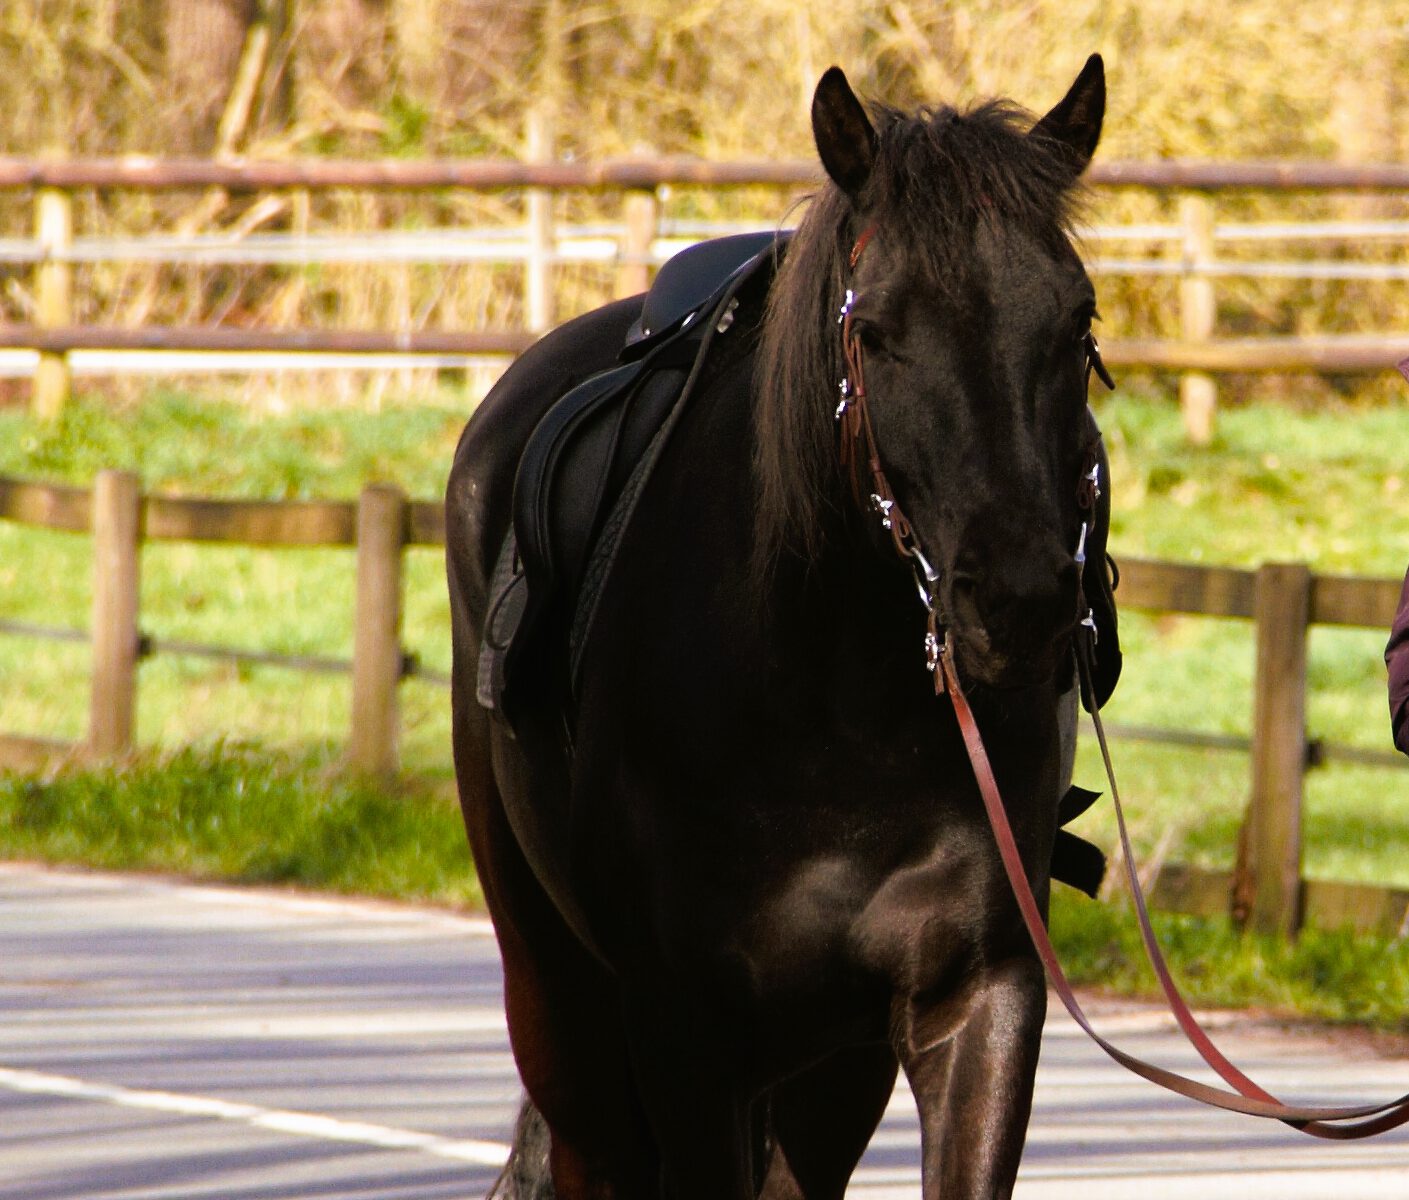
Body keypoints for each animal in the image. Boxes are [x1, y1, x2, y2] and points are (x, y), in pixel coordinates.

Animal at [448, 51, 1110, 1194]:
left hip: (824, 1067)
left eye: (1075, 323)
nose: (1017, 602)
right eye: (874, 330)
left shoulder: (974, 1001)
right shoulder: (686, 1040)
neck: (839, 713)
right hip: (566, 1014)